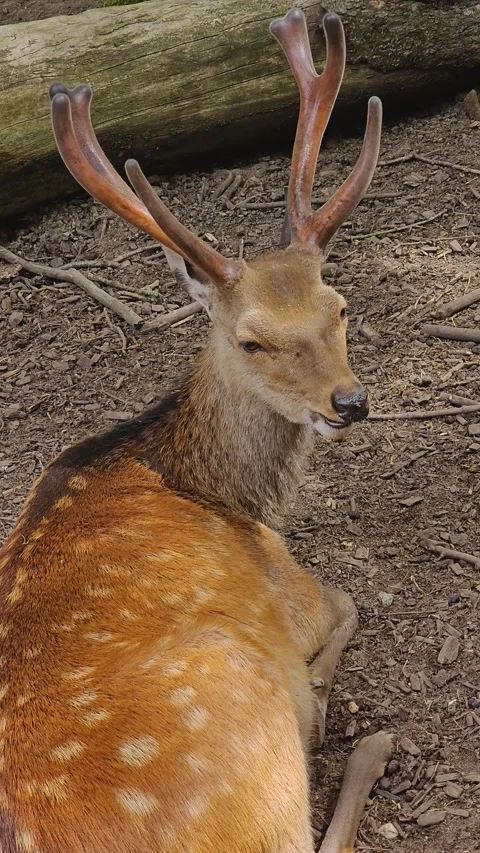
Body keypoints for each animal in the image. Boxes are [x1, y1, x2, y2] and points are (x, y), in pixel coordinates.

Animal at [0, 8, 392, 852]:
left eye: (339, 305)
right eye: (251, 340)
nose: (349, 402)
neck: (218, 487)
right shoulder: (289, 579)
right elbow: (351, 600)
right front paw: (321, 688)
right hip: (241, 714)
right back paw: (361, 738)